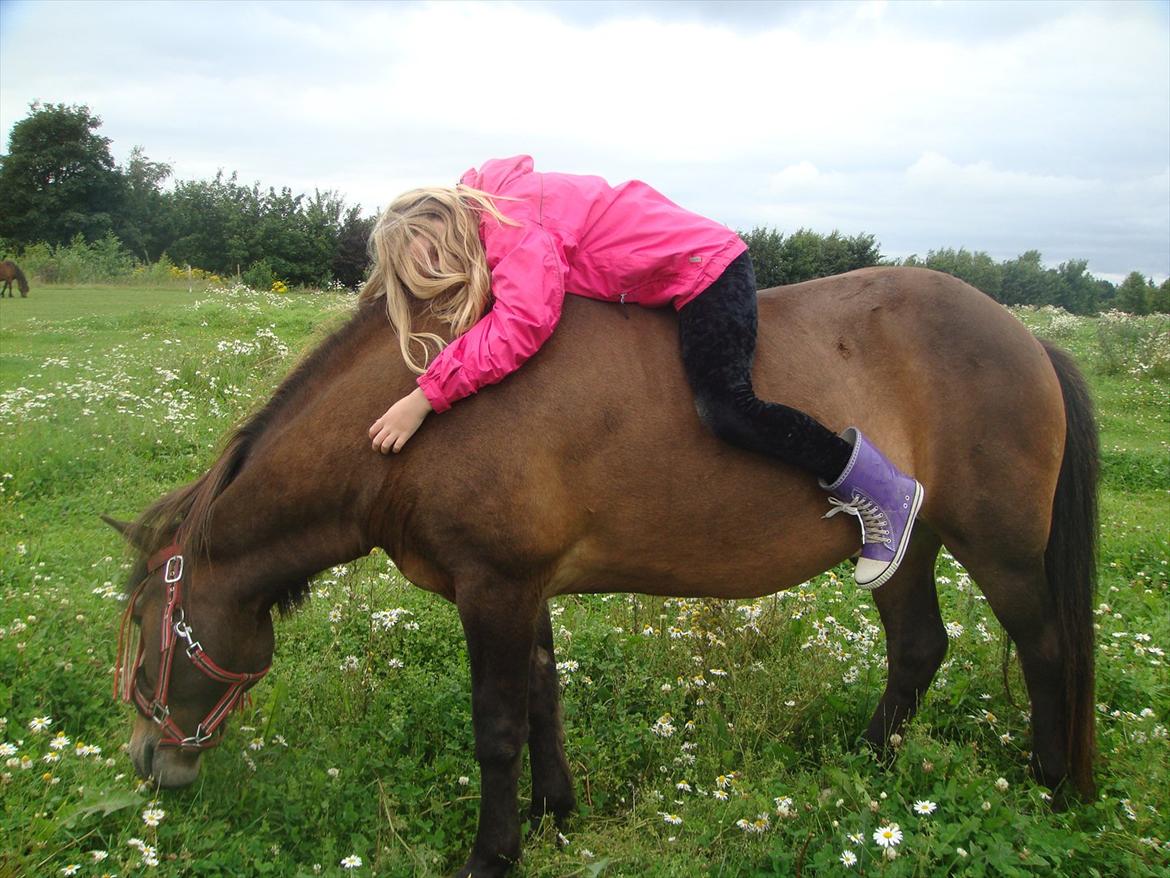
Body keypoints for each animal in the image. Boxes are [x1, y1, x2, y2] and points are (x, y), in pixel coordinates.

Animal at [107, 268, 1095, 878]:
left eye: (151, 632)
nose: (150, 762)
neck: (433, 411)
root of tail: (1027, 338)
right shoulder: (524, 588)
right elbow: (544, 698)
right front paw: (554, 812)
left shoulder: (496, 588)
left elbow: (498, 725)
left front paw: (492, 853)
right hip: (901, 547)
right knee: (919, 647)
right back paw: (867, 771)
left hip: (1000, 548)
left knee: (1044, 648)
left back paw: (1055, 786)